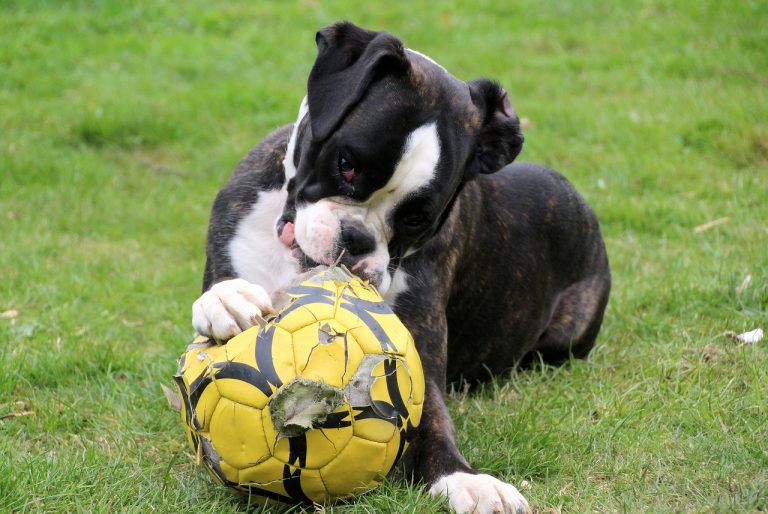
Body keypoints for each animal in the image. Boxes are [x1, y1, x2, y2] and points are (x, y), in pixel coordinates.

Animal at [192, 21, 612, 512]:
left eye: (416, 219)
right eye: (345, 165)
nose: (356, 240)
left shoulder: (418, 356)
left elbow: (432, 422)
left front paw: (465, 479)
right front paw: (228, 300)